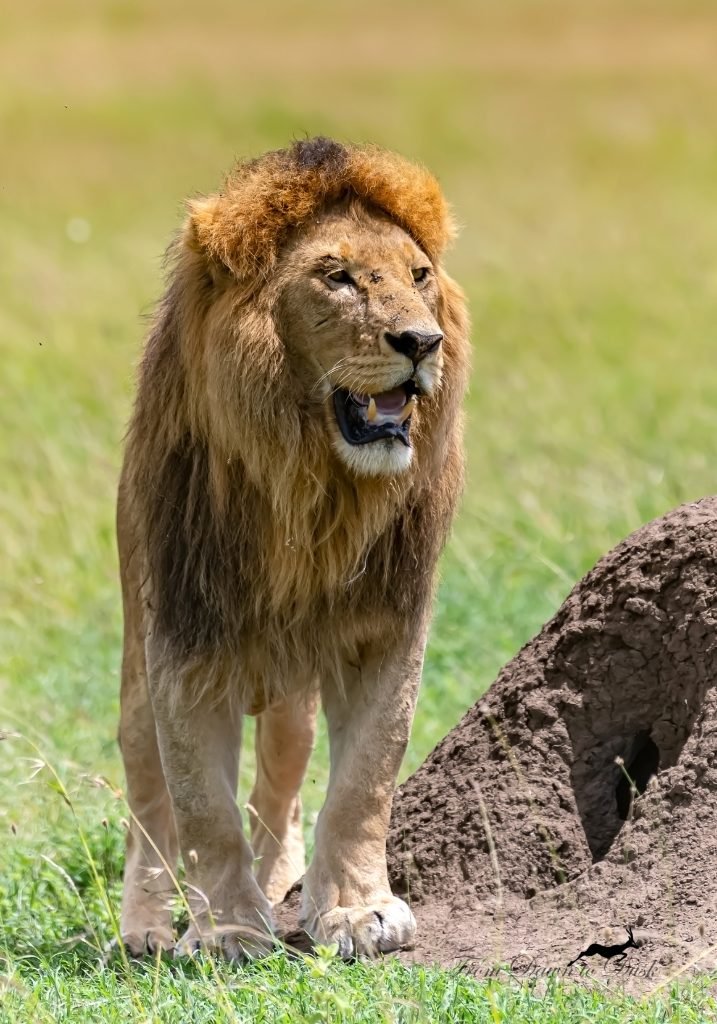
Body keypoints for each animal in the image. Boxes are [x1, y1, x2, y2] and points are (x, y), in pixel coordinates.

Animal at [117, 138, 471, 958]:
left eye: (419, 276)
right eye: (336, 277)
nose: (422, 343)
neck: (314, 491)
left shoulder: (384, 630)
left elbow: (363, 782)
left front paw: (358, 911)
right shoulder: (182, 640)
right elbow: (201, 807)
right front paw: (225, 931)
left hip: (288, 708)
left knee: (277, 786)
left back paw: (283, 879)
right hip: (135, 667)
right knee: (148, 804)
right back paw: (144, 924)